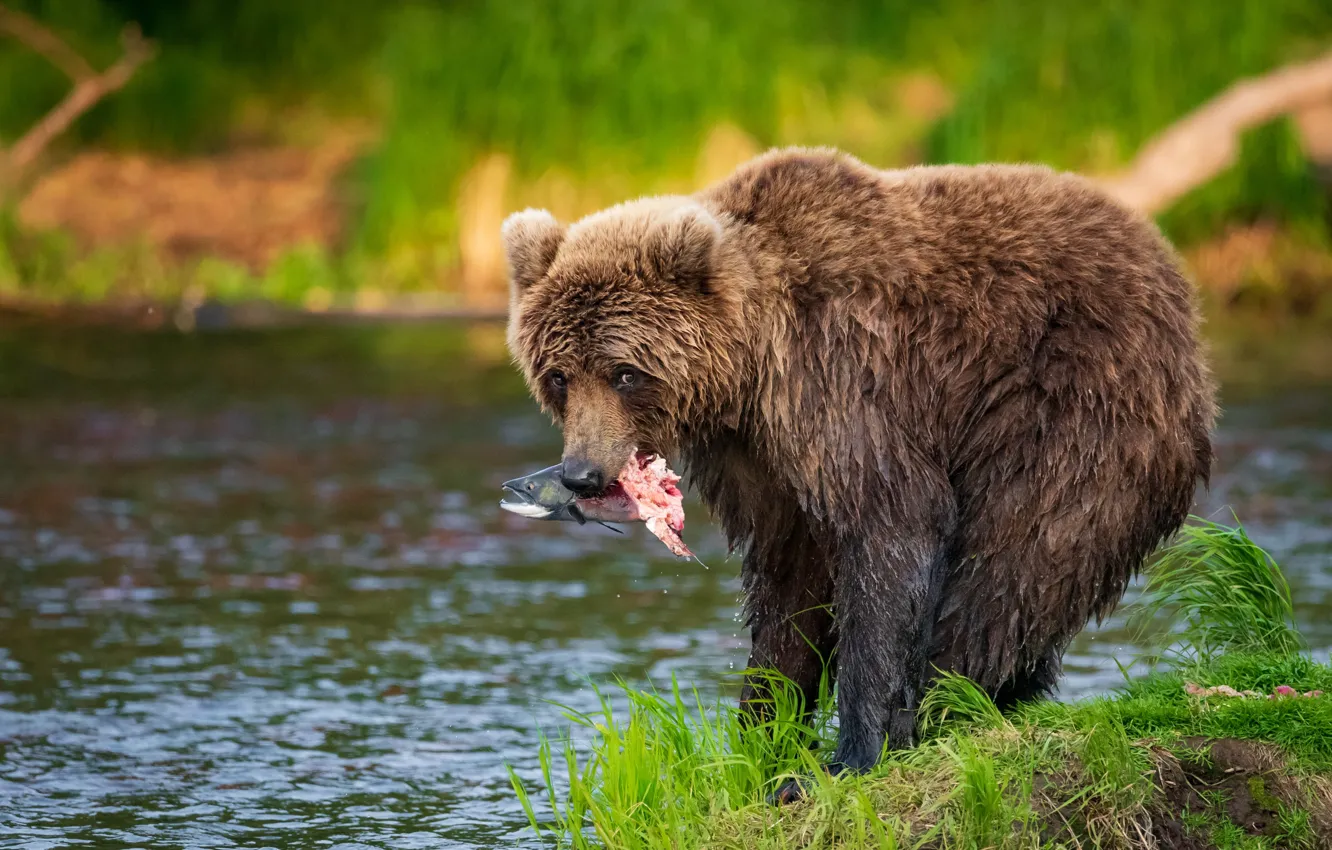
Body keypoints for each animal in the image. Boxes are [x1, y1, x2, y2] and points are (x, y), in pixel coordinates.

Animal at [500, 145, 1220, 794]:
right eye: (559, 375)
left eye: (624, 372)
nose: (582, 473)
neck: (750, 367)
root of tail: (1171, 273)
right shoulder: (758, 455)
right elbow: (788, 581)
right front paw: (757, 737)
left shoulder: (844, 379)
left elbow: (891, 529)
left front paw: (844, 755)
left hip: (1071, 401)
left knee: (1017, 556)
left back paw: (939, 706)